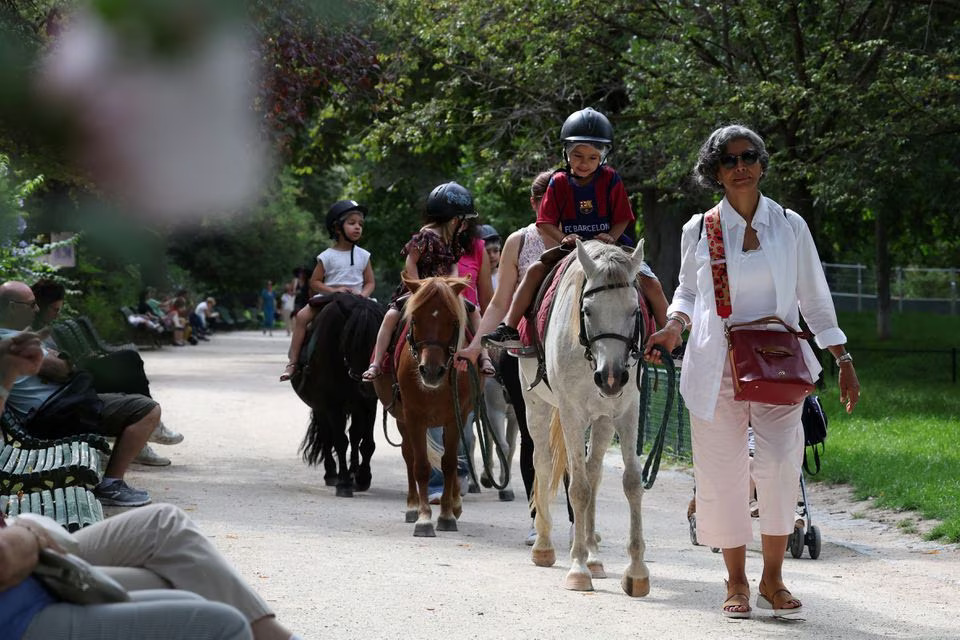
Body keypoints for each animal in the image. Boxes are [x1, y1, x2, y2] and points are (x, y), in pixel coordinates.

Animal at [376, 274, 478, 536]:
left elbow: (450, 463)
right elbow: (420, 465)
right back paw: (412, 506)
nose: (431, 371)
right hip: (402, 419)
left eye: (453, 320)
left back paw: (454, 503)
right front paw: (423, 518)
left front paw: (447, 514)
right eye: (414, 319)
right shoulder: (414, 417)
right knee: (408, 455)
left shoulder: (456, 417)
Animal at [520, 239, 648, 596]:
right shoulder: (571, 413)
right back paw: (545, 547)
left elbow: (631, 482)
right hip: (537, 406)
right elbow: (577, 488)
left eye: (634, 311)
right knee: (544, 464)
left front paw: (636, 571)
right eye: (588, 311)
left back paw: (594, 555)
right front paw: (577, 569)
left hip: (603, 420)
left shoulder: (626, 409)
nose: (612, 377)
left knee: (594, 472)